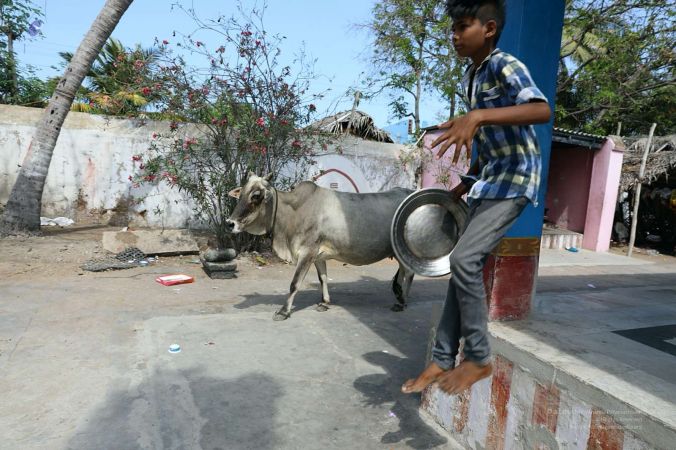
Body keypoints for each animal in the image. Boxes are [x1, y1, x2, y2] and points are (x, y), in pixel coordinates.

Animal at [226, 172, 415, 321]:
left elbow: (294, 283)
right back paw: (399, 296)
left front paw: (283, 311)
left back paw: (403, 301)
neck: (293, 214)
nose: (229, 223)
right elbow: (323, 278)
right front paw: (324, 302)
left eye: (256, 195)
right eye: (241, 194)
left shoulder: (307, 252)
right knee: (403, 272)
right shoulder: (318, 255)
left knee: (409, 273)